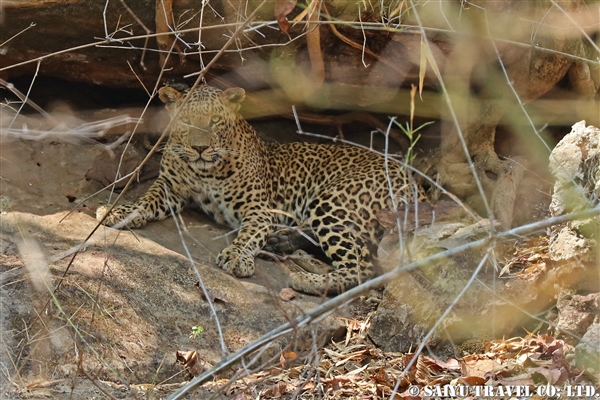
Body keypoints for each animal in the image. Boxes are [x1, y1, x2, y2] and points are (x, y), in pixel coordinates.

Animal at [97, 83, 426, 294]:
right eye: (187, 120)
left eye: (215, 120)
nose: (200, 148)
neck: (205, 171)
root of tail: (415, 182)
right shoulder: (169, 186)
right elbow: (145, 200)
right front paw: (118, 211)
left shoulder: (258, 211)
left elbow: (248, 236)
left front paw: (236, 256)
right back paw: (283, 243)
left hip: (333, 202)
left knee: (362, 267)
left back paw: (307, 280)